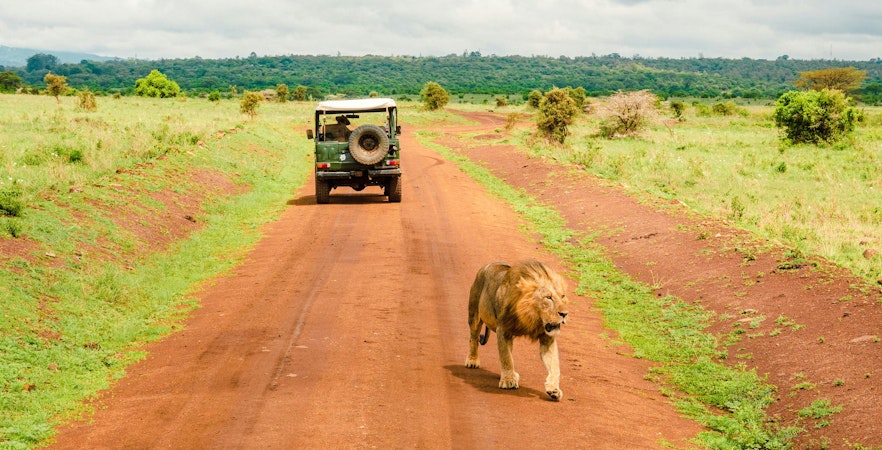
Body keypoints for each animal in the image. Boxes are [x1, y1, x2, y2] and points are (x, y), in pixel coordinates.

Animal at [464, 260, 569, 401]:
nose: (565, 314)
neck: (533, 316)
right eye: (548, 297)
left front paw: (554, 389)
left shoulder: (547, 338)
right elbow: (506, 358)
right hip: (474, 315)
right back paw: (472, 360)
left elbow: (554, 365)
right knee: (474, 339)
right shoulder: (503, 330)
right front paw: (508, 381)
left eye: (563, 296)